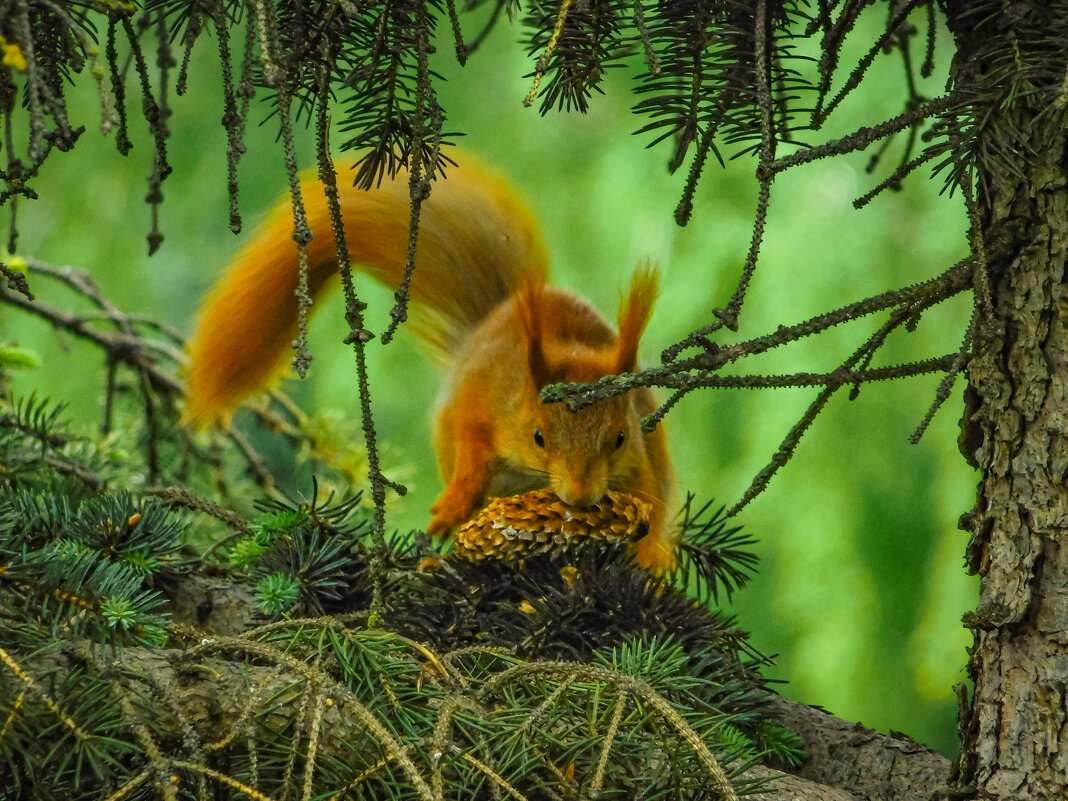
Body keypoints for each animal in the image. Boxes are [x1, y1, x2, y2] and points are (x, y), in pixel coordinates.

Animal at [185, 153, 674, 572]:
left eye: (619, 438)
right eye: (538, 436)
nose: (580, 496)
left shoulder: (640, 459)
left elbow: (650, 498)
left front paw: (649, 557)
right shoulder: (478, 399)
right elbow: (471, 448)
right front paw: (452, 505)